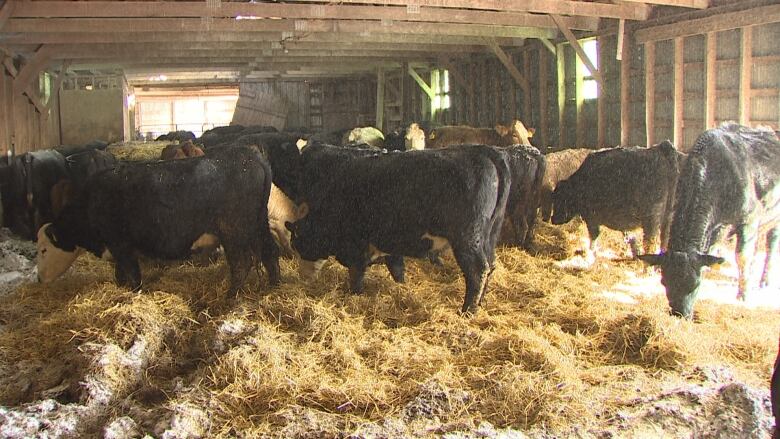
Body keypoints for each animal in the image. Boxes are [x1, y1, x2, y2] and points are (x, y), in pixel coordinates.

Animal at [37, 146, 280, 294]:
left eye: (43, 250)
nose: (39, 279)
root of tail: (249, 156)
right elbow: (121, 275)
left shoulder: (121, 245)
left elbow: (132, 276)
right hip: (258, 225)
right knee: (270, 252)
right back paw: (273, 287)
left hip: (233, 231)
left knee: (241, 263)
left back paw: (231, 296)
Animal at [286, 144, 512, 312]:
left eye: (297, 243)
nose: (303, 278)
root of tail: (480, 150)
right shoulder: (390, 247)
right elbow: (397, 271)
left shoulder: (357, 248)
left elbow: (356, 277)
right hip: (489, 236)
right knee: (490, 266)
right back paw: (480, 303)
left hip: (467, 239)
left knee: (477, 270)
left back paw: (468, 310)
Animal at [552, 141, 684, 258]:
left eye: (560, 199)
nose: (553, 219)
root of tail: (661, 149)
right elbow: (631, 238)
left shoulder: (591, 217)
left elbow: (594, 236)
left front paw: (590, 254)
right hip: (668, 219)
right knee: (664, 243)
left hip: (651, 218)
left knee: (650, 243)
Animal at [640, 124, 780, 320]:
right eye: (664, 282)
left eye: (695, 284)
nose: (680, 314)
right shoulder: (718, 226)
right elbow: (712, 251)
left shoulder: (749, 219)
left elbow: (742, 256)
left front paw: (743, 295)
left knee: (771, 245)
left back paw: (764, 281)